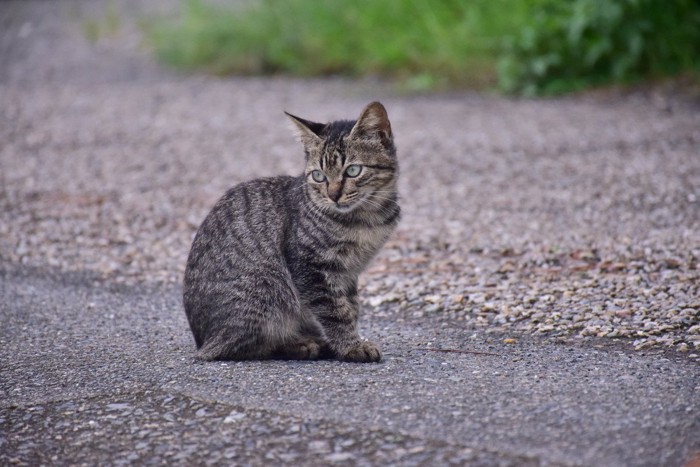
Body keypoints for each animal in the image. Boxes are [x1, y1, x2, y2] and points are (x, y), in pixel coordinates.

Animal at [180, 102, 400, 364]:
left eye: (353, 170)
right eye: (318, 176)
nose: (333, 195)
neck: (367, 218)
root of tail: (202, 340)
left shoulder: (349, 274)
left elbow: (351, 306)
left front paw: (346, 341)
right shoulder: (309, 265)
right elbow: (335, 311)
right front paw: (350, 346)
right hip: (265, 291)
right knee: (239, 346)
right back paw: (301, 344)